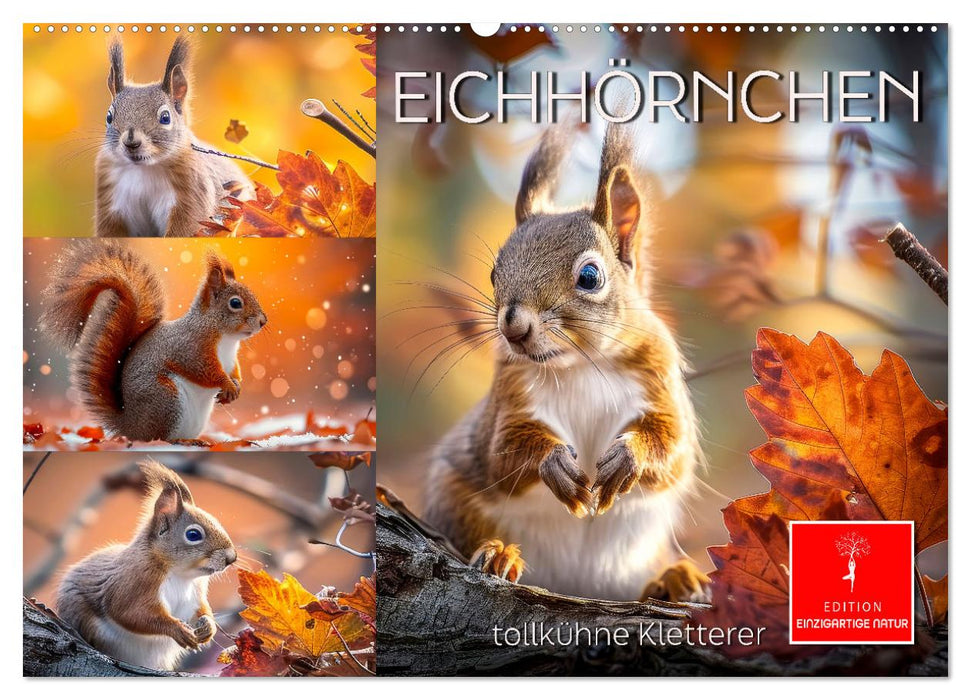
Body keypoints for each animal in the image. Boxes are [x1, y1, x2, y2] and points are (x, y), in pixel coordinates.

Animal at [40, 241, 267, 443]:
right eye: (235, 303)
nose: (263, 321)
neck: (226, 338)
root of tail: (131, 426)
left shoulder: (230, 358)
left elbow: (234, 370)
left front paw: (236, 385)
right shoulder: (190, 348)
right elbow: (204, 370)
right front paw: (227, 383)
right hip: (166, 399)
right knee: (159, 438)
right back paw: (182, 441)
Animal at [57, 460, 237, 671]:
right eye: (193, 534)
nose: (231, 557)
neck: (180, 574)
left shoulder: (194, 595)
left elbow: (201, 610)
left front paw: (209, 627)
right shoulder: (135, 580)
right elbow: (131, 612)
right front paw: (177, 629)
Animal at [95, 37, 253, 237]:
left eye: (165, 117)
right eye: (109, 116)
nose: (131, 142)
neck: (144, 169)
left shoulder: (192, 192)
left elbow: (186, 226)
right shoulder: (110, 197)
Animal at [423, 120, 710, 603]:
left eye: (590, 277)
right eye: (494, 274)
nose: (513, 328)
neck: (579, 365)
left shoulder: (660, 380)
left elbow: (673, 449)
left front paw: (629, 455)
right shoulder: (507, 401)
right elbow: (502, 452)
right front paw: (553, 461)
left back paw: (675, 578)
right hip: (453, 498)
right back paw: (500, 554)